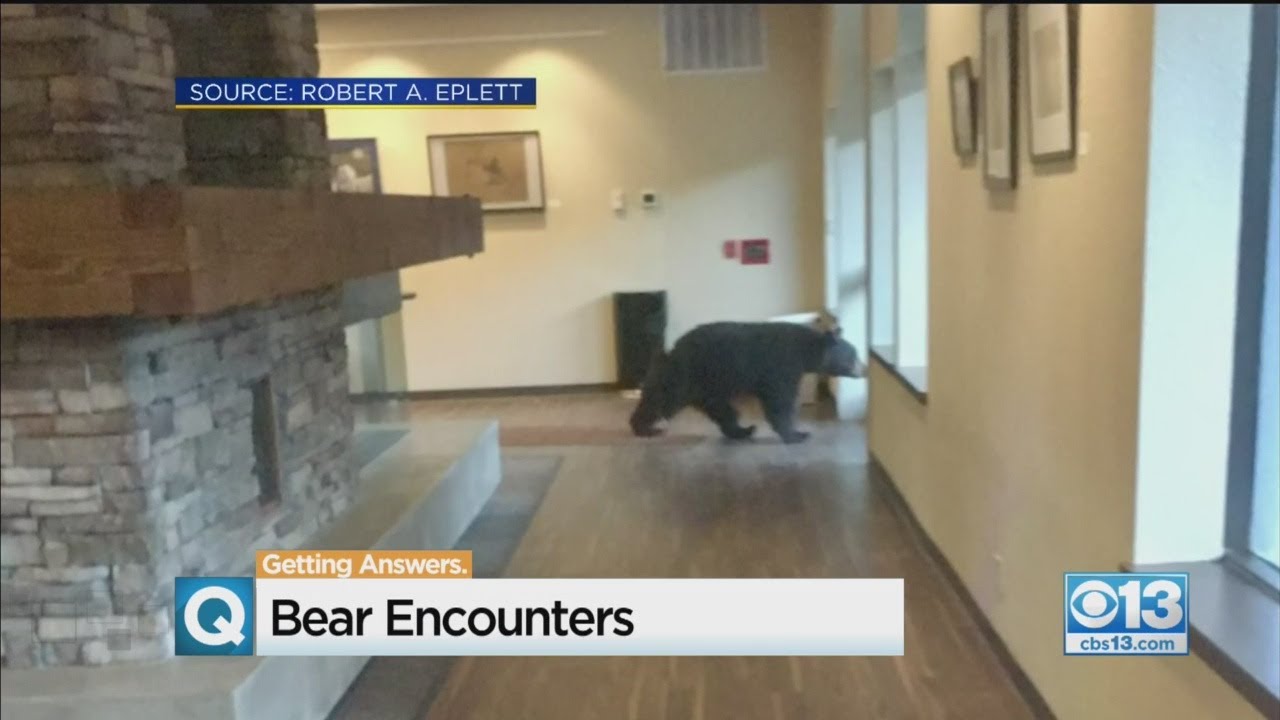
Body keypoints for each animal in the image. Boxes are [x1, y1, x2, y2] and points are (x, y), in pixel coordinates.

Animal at [628, 320, 866, 444]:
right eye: (854, 355)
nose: (864, 370)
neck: (805, 352)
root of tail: (671, 350)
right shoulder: (780, 367)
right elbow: (780, 401)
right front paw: (797, 433)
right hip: (686, 376)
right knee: (663, 398)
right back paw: (644, 427)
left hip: (710, 387)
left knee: (724, 411)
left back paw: (742, 430)